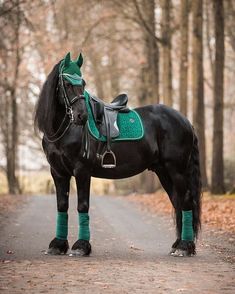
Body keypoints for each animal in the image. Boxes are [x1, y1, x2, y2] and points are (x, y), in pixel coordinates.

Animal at [34, 52, 201, 258]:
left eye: (83, 83)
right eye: (66, 83)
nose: (82, 116)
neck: (64, 131)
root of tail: (185, 121)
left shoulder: (82, 171)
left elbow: (82, 205)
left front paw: (81, 246)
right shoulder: (58, 173)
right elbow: (62, 206)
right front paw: (58, 245)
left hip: (176, 170)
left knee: (185, 201)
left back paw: (185, 247)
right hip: (164, 171)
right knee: (177, 201)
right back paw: (178, 244)